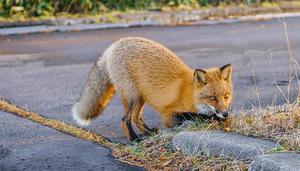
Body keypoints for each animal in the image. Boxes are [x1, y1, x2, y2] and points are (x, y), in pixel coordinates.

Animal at [72, 36, 232, 141]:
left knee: (136, 117)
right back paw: (134, 138)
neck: (191, 94)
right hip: (132, 95)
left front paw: (221, 119)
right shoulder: (168, 115)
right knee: (125, 119)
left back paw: (148, 133)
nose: (225, 113)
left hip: (141, 96)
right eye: (212, 98)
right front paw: (212, 118)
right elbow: (193, 115)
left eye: (225, 96)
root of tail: (115, 43)